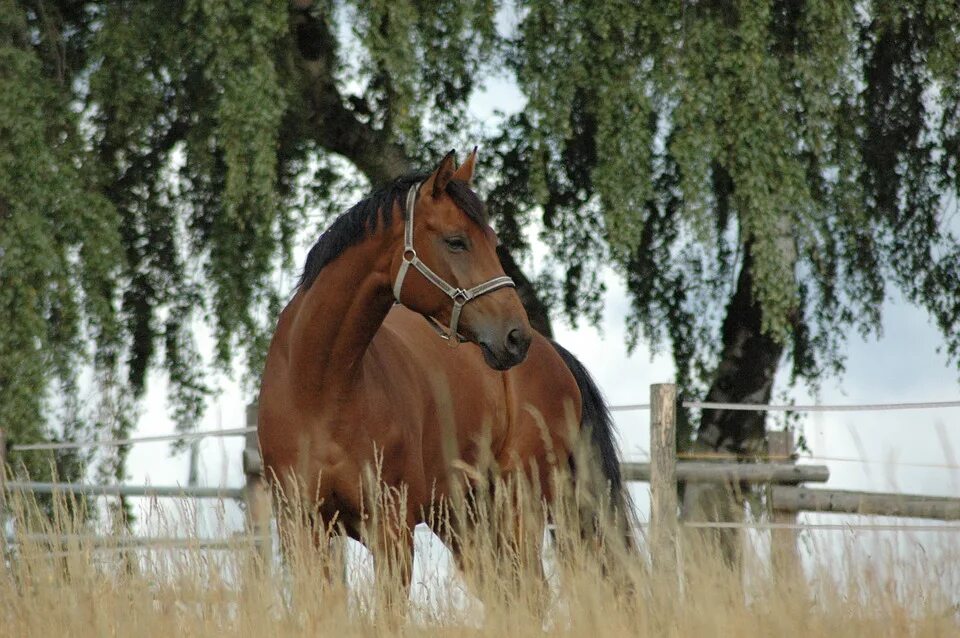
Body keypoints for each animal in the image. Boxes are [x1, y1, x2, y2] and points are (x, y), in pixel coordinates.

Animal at [256, 148, 632, 604]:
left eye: (493, 241)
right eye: (456, 241)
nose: (515, 336)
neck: (321, 387)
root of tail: (553, 354)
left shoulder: (392, 530)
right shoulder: (300, 527)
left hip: (516, 505)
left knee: (530, 593)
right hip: (464, 520)